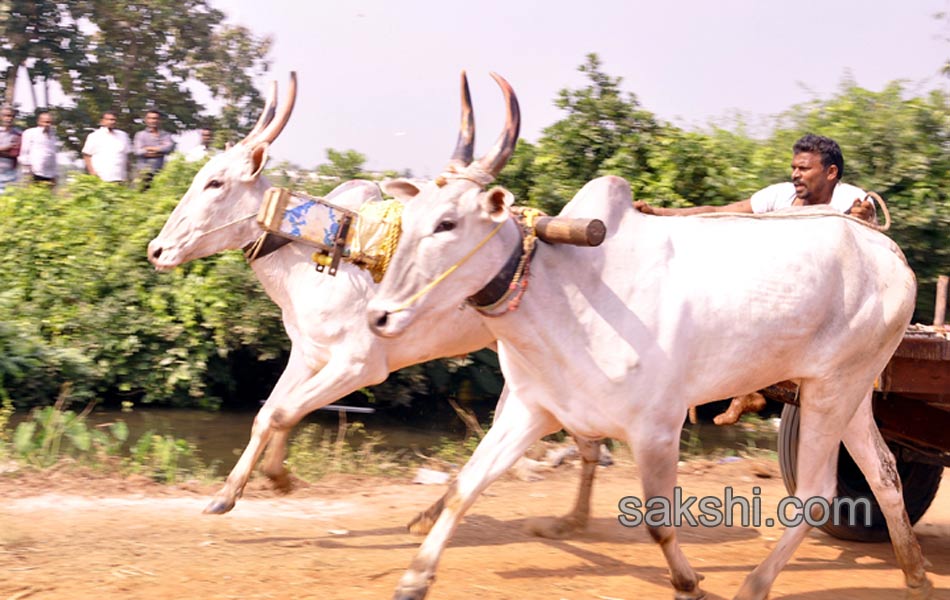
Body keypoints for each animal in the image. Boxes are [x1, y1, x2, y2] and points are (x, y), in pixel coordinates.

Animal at [145, 72, 600, 536]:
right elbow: (270, 413)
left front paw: (279, 478)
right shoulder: (308, 355)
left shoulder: (360, 365)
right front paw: (229, 493)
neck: (315, 254)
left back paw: (574, 518)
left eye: (215, 183)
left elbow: (281, 413)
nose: (157, 250)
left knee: (581, 439)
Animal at [368, 72, 932, 596]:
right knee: (884, 472)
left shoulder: (658, 427)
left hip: (833, 389)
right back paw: (915, 573)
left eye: (447, 224)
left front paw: (688, 582)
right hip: (844, 390)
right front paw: (414, 578)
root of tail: (886, 247)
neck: (562, 291)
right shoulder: (533, 409)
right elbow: (466, 485)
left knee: (817, 491)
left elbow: (658, 521)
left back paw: (756, 584)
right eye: (408, 218)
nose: (379, 316)